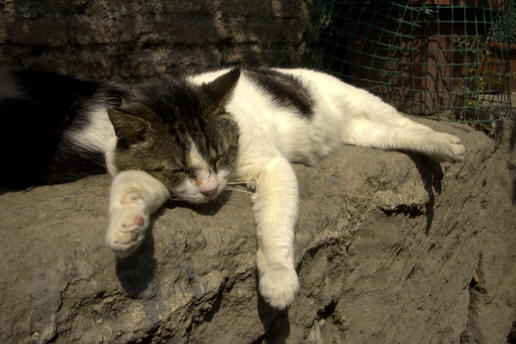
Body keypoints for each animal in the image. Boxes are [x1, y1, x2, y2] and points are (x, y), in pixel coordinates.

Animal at [0, 67, 466, 310]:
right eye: (178, 169)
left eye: (219, 154)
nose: (208, 189)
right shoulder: (144, 174)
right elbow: (131, 187)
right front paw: (126, 227)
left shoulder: (273, 169)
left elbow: (274, 226)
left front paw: (278, 280)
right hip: (366, 133)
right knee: (397, 134)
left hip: (363, 102)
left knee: (407, 123)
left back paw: (449, 144)